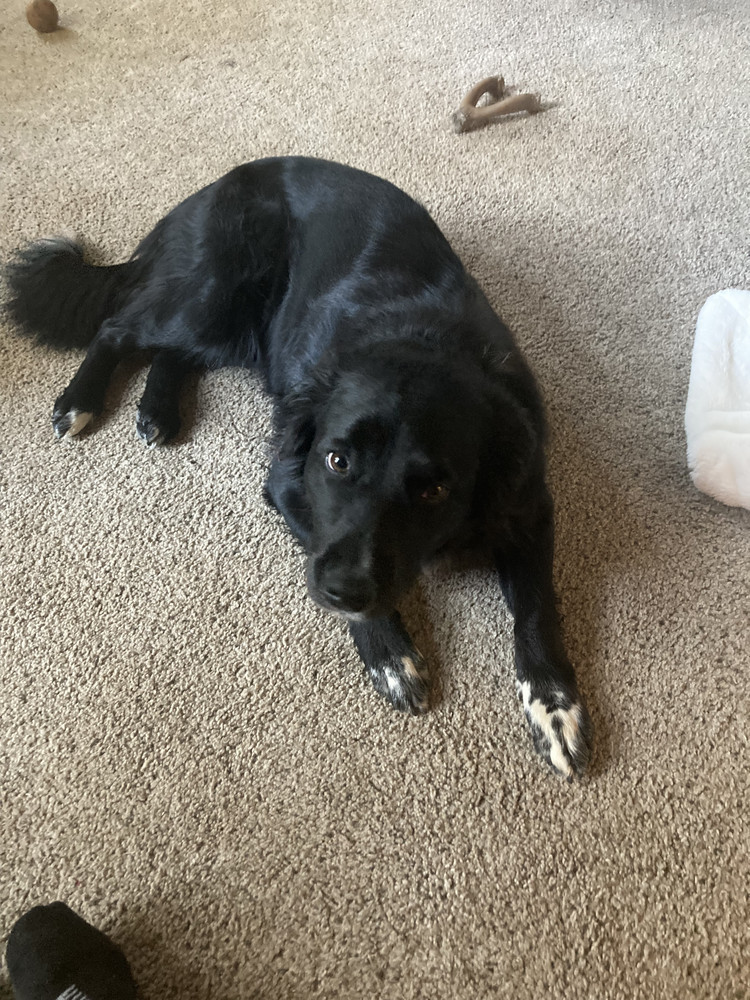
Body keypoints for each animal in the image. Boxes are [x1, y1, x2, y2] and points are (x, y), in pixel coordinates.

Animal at [5, 156, 591, 778]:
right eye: (336, 460)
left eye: (434, 490)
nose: (341, 591)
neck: (420, 340)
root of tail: (213, 187)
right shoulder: (289, 487)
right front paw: (389, 653)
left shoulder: (529, 505)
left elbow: (537, 608)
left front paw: (555, 706)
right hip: (214, 297)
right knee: (119, 327)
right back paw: (80, 401)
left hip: (233, 328)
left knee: (174, 353)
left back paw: (157, 410)